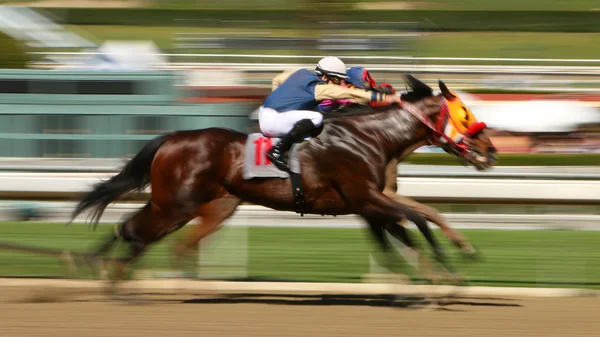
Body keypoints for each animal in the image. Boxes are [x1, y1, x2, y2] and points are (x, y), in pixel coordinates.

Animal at [69, 75, 496, 288]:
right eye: (464, 112)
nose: (490, 149)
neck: (371, 136)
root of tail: (171, 139)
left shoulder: (369, 204)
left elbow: (411, 229)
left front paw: (439, 271)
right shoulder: (366, 197)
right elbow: (418, 219)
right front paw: (448, 270)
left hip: (207, 205)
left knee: (145, 233)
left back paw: (104, 267)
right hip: (177, 203)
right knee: (136, 230)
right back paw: (107, 269)